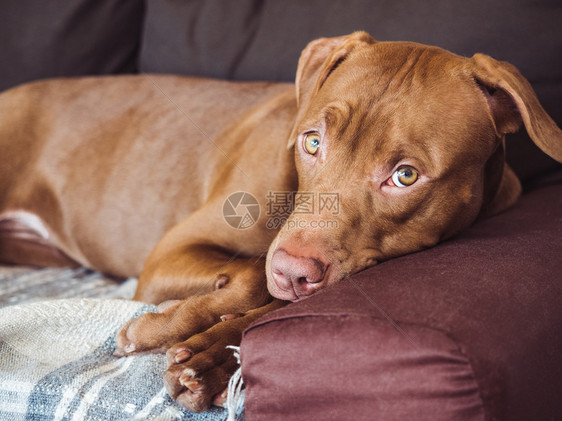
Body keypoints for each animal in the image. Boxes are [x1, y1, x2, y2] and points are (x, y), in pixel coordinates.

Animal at [1, 32, 560, 410]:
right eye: (312, 142)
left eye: (405, 175)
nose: (293, 271)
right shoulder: (170, 252)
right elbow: (252, 274)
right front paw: (160, 328)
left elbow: (262, 295)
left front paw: (213, 358)